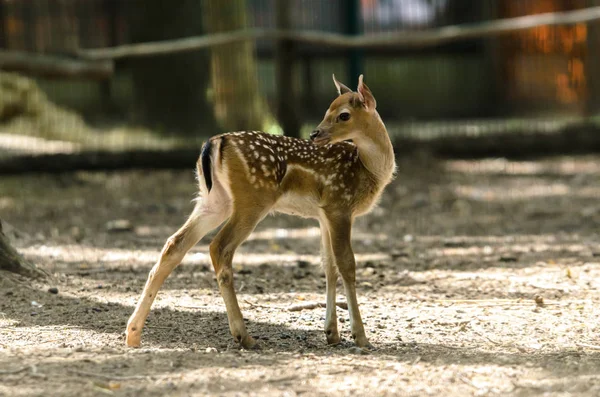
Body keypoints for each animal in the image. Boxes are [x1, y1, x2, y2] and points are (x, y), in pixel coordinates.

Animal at [126, 74, 396, 350]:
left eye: (342, 115)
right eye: (328, 111)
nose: (314, 134)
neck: (369, 170)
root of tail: (214, 143)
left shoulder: (323, 214)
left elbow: (328, 266)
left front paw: (332, 333)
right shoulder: (340, 205)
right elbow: (347, 265)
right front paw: (361, 337)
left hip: (213, 200)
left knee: (174, 243)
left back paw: (133, 334)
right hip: (252, 199)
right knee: (219, 247)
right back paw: (244, 336)